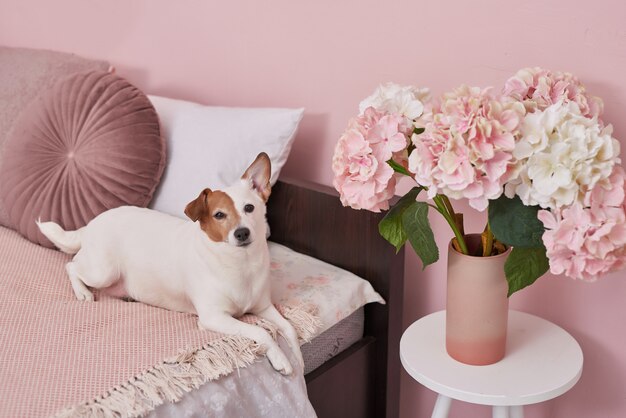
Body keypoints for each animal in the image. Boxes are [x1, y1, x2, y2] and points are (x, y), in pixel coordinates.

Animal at [37, 152, 302, 374]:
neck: (240, 264)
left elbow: (288, 328)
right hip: (103, 271)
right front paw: (280, 358)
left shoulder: (263, 307)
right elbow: (260, 331)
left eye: (249, 208)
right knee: (72, 265)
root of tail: (91, 223)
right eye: (219, 215)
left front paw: (297, 357)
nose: (242, 233)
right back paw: (82, 292)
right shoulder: (214, 317)